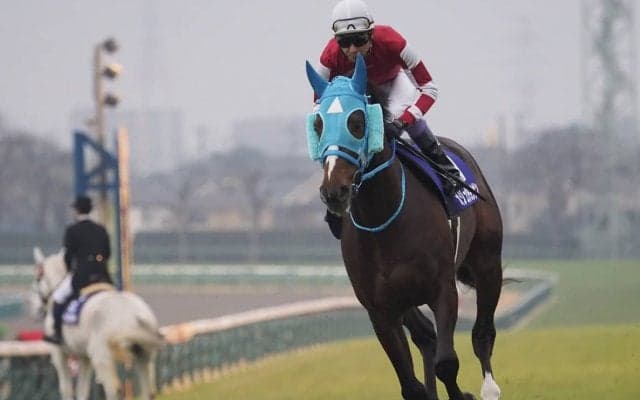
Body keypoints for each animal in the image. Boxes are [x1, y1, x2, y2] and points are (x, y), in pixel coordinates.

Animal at [31, 247, 164, 400]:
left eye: (38, 278)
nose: (36, 308)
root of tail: (135, 313)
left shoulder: (58, 352)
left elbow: (66, 388)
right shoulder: (84, 356)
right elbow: (82, 390)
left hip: (102, 356)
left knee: (114, 389)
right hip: (144, 354)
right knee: (148, 389)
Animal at [305, 54, 503, 400]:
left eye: (357, 122)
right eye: (318, 124)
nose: (334, 191)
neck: (384, 221)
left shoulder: (443, 289)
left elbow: (447, 363)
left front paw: (463, 394)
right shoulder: (379, 308)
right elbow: (412, 384)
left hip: (489, 263)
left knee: (482, 334)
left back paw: (490, 388)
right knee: (426, 337)